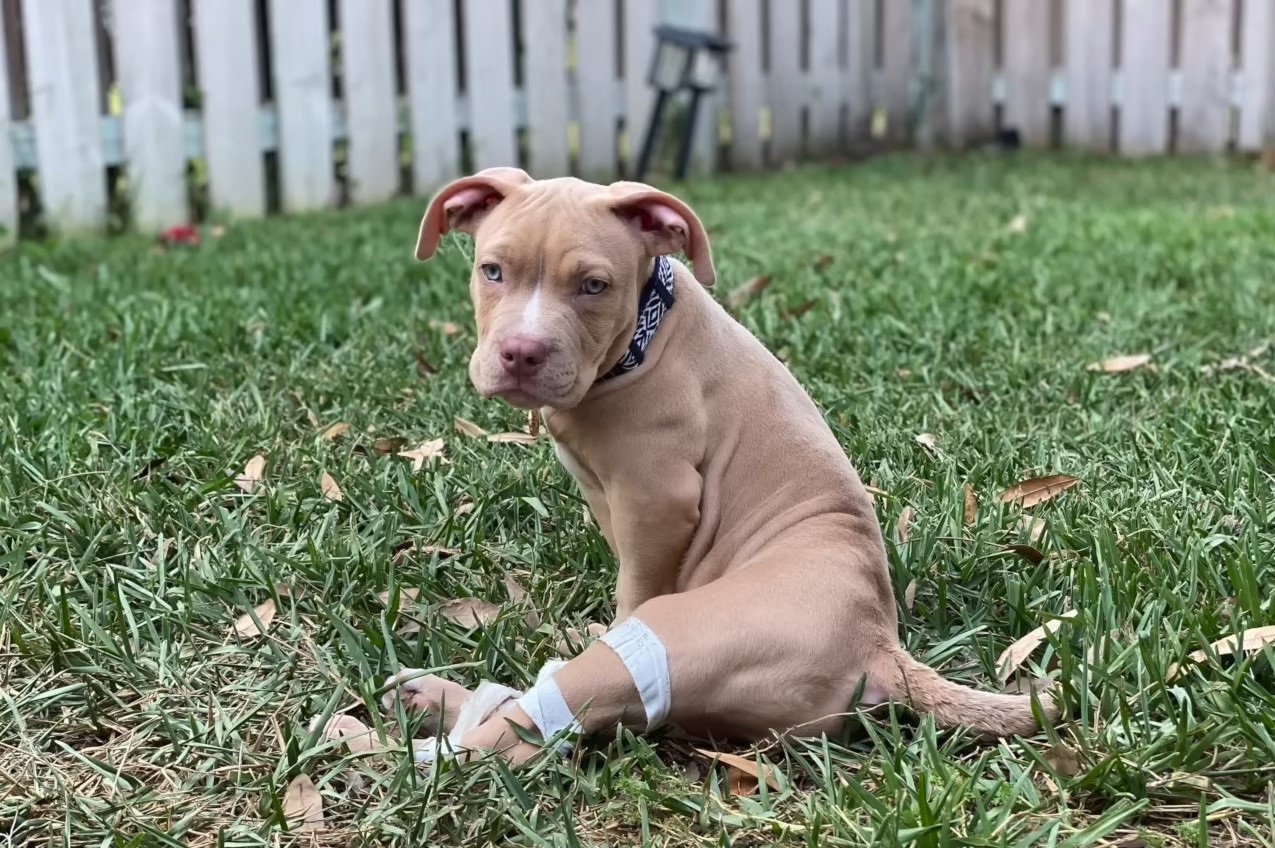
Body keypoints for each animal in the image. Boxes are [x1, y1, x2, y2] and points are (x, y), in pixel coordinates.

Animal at [382, 167, 1060, 765]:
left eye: (594, 286)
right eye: (491, 271)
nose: (521, 353)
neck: (640, 337)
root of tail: (879, 649)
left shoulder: (659, 500)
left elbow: (636, 585)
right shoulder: (610, 499)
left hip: (673, 635)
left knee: (520, 736)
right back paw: (429, 696)